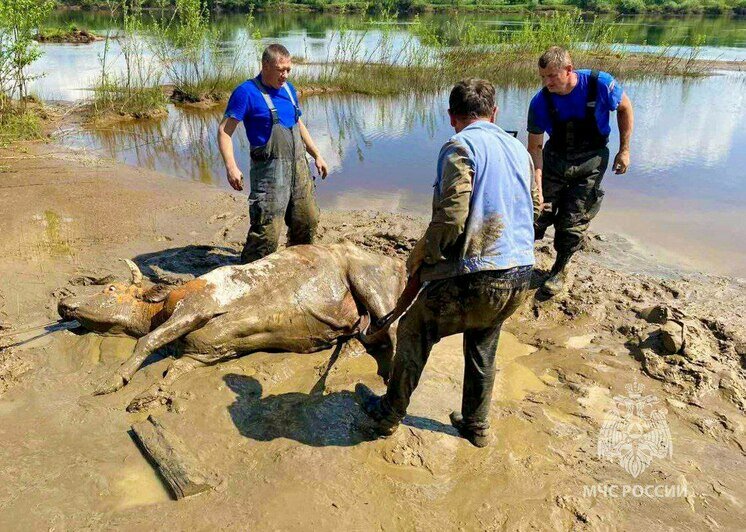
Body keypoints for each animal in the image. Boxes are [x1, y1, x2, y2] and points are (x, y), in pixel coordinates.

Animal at [56, 243, 406, 414]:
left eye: (110, 289)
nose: (64, 302)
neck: (160, 309)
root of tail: (396, 263)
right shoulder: (203, 354)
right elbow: (173, 370)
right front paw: (147, 397)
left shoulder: (194, 308)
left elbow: (148, 341)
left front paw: (113, 380)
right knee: (370, 336)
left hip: (370, 283)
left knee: (394, 333)